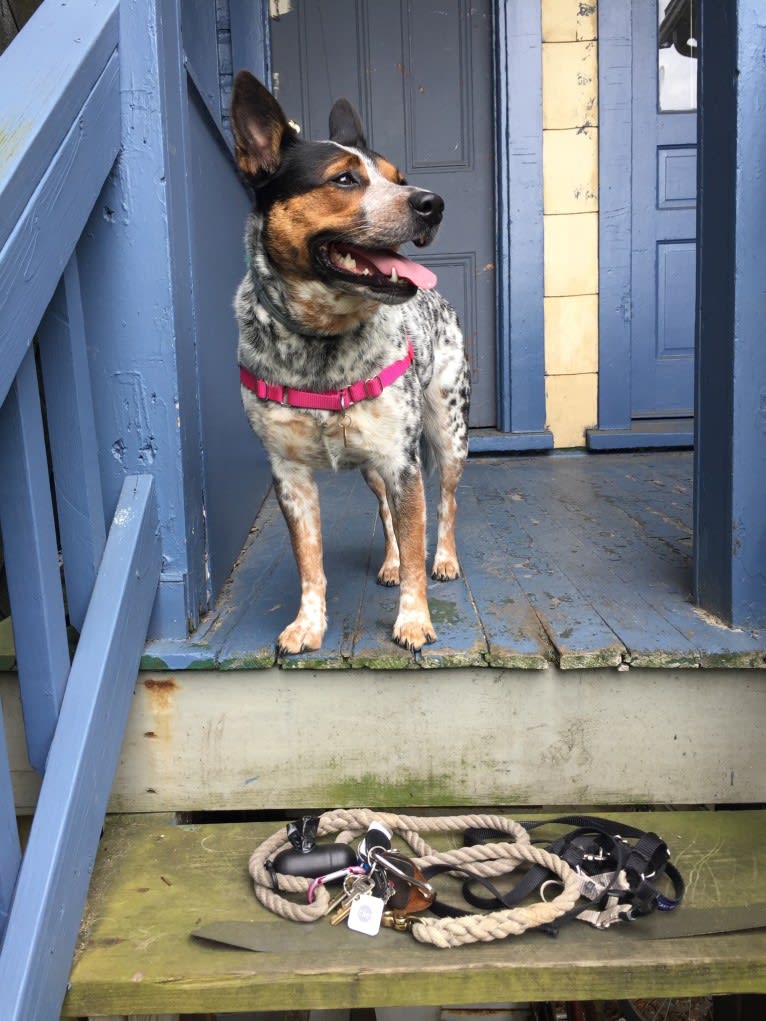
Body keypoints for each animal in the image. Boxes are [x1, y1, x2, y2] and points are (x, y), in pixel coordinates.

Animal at [230, 75, 471, 657]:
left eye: (399, 179)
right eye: (344, 179)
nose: (433, 202)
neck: (320, 342)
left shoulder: (403, 461)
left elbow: (417, 542)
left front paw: (414, 621)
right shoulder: (289, 474)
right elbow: (310, 562)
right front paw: (307, 625)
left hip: (449, 434)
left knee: (447, 505)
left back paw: (445, 559)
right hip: (370, 466)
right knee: (386, 515)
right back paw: (389, 563)